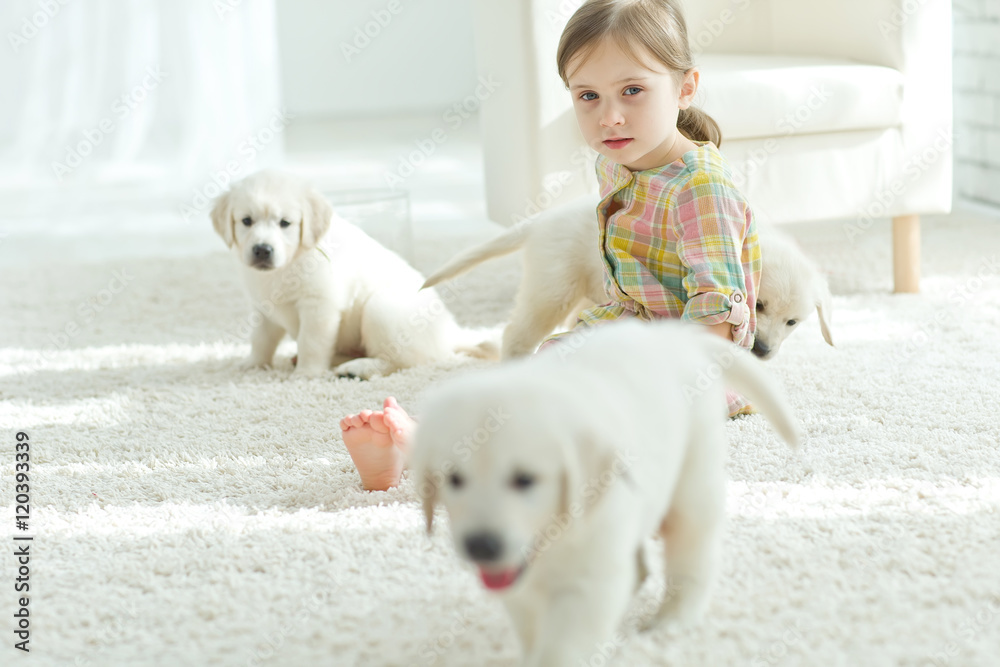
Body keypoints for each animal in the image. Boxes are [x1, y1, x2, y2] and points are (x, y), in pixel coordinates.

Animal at [209, 171, 498, 380]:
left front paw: (307, 374)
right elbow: (261, 339)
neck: (288, 265)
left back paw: (358, 368)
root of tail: (452, 333)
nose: (262, 250)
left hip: (381, 308)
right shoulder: (264, 307)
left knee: (403, 361)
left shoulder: (319, 306)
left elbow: (311, 341)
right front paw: (254, 364)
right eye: (246, 221)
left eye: (285, 223)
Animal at [410, 320, 800, 664]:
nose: (481, 546)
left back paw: (673, 619)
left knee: (693, 552)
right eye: (454, 480)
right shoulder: (520, 588)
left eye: (525, 480)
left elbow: (561, 648)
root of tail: (672, 337)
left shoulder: (590, 583)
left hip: (693, 478)